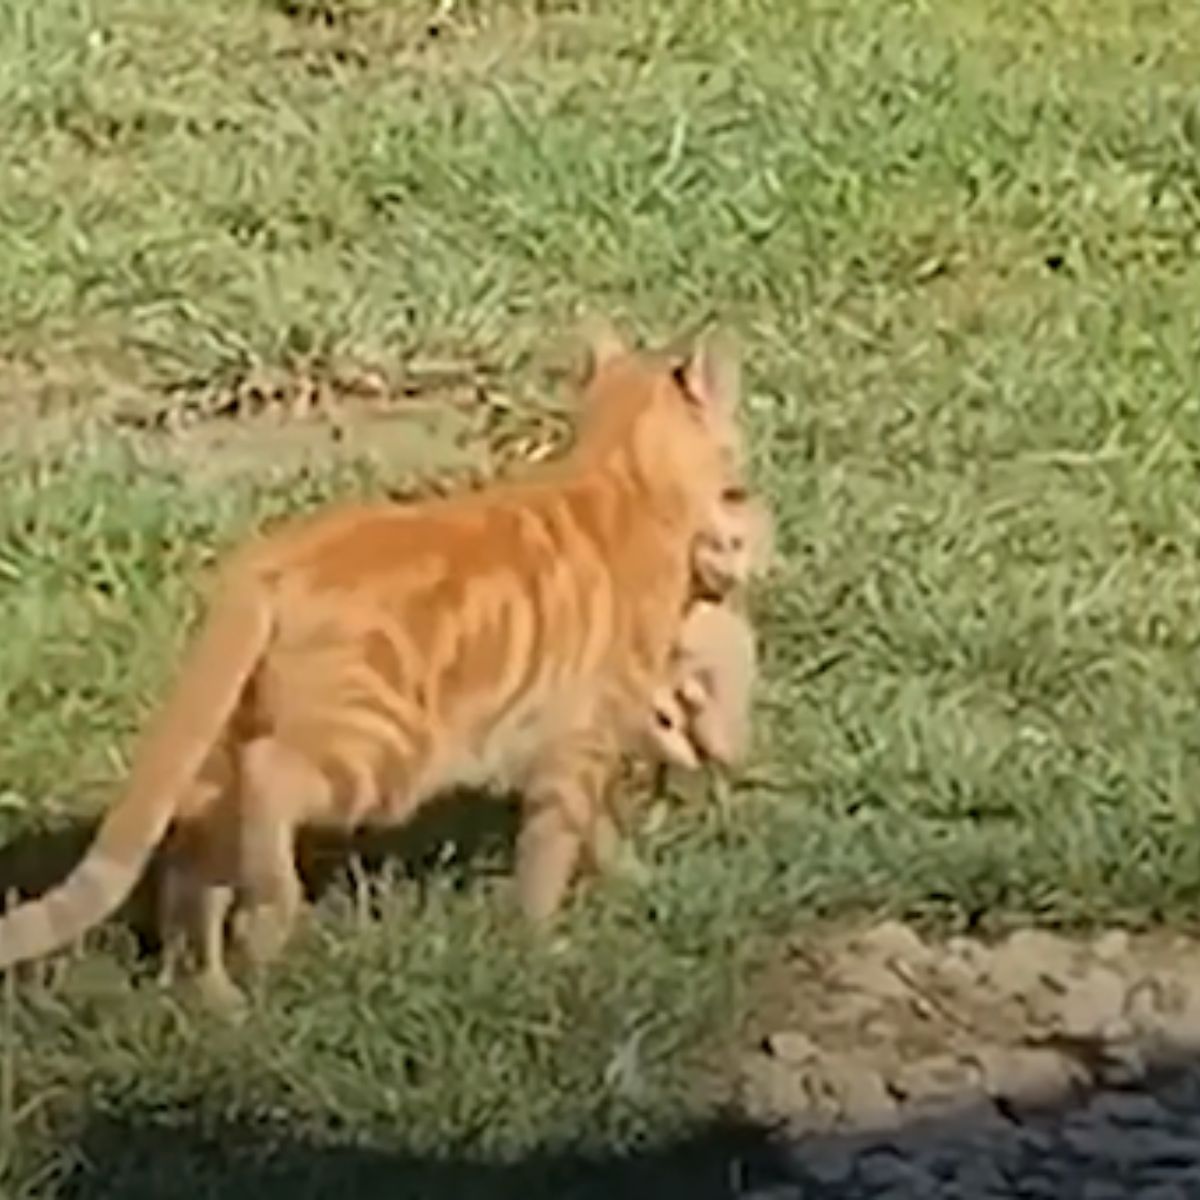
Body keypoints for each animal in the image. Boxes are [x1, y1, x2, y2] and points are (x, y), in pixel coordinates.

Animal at [0, 319, 748, 1003]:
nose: (741, 493)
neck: (613, 476)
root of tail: (263, 563)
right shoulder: (580, 740)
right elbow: (551, 850)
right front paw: (544, 942)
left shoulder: (565, 745)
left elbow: (594, 831)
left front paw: (637, 884)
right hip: (379, 753)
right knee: (270, 781)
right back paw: (270, 919)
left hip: (232, 758)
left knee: (192, 868)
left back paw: (218, 1001)